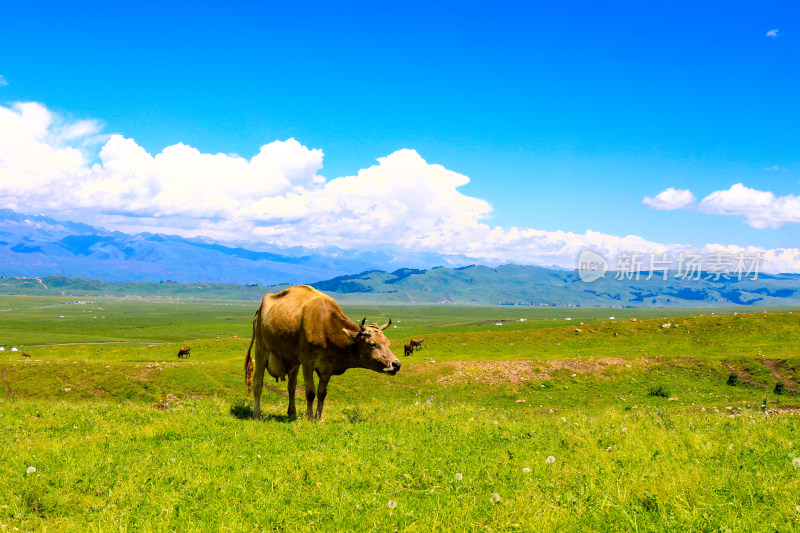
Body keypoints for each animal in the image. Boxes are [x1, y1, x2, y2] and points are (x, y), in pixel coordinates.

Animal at [244, 284, 400, 418]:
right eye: (373, 344)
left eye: (388, 344)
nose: (396, 364)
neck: (325, 325)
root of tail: (259, 310)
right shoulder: (307, 363)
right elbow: (310, 392)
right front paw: (309, 417)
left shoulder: (327, 368)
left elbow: (321, 393)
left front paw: (319, 418)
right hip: (261, 349)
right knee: (258, 382)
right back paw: (257, 414)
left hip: (294, 361)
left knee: (291, 387)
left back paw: (292, 413)